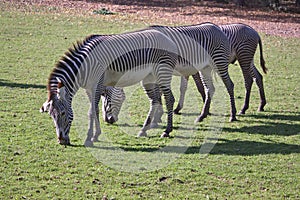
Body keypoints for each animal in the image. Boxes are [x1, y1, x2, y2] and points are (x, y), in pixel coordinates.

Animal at [39, 28, 178, 146]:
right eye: (51, 115)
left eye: (63, 113)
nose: (61, 141)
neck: (84, 67)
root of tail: (167, 38)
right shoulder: (89, 89)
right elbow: (95, 110)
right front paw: (96, 135)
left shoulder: (97, 85)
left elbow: (91, 112)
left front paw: (89, 138)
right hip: (149, 78)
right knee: (154, 100)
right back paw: (143, 130)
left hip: (162, 72)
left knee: (169, 98)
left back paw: (167, 131)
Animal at [102, 22, 238, 128]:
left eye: (105, 95)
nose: (108, 120)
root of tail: (216, 27)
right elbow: (158, 95)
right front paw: (158, 118)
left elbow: (159, 94)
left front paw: (157, 118)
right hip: (205, 68)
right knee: (210, 88)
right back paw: (202, 116)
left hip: (219, 62)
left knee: (230, 85)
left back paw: (233, 115)